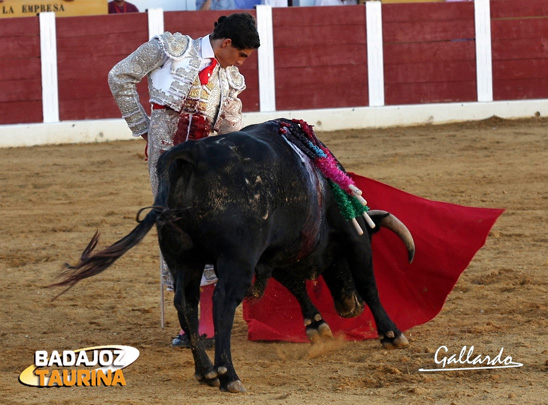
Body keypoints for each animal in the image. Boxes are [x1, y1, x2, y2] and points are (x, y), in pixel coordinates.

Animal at [51, 119, 414, 392]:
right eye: (337, 260)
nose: (349, 308)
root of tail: (191, 152)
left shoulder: (270, 252)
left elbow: (293, 283)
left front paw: (316, 324)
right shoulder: (353, 236)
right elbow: (368, 282)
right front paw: (392, 334)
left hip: (183, 258)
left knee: (186, 303)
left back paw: (206, 372)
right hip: (235, 261)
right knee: (222, 303)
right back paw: (229, 375)